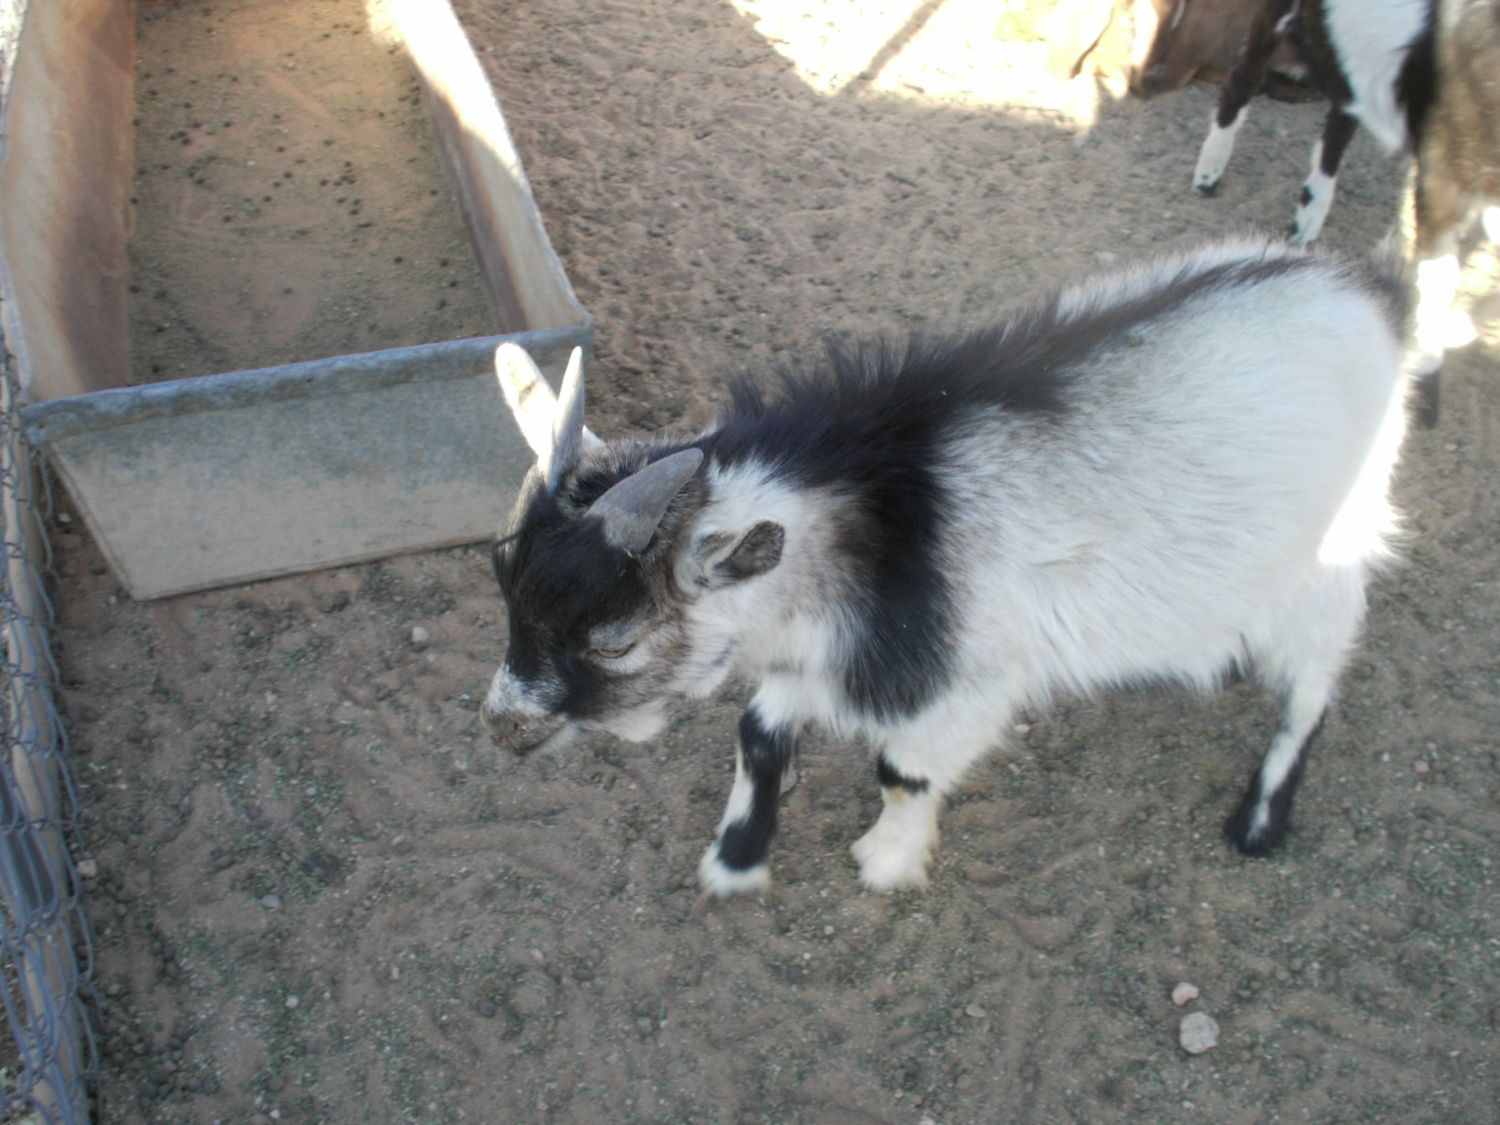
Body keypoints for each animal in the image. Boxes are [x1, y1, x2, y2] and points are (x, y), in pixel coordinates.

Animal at [480, 239, 1410, 897]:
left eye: (613, 639)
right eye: (505, 589)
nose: (501, 725)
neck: (876, 522)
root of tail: (1374, 299)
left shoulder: (968, 685)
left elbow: (902, 772)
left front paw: (887, 862)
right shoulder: (817, 653)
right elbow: (757, 732)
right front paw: (737, 857)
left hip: (1329, 561)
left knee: (1318, 678)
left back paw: (1261, 816)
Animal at [1190, 0, 1500, 424]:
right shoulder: (1442, 174)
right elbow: (1437, 281)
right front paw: (1426, 377)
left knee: (1342, 105)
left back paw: (1310, 212)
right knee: (1246, 74)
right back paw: (1209, 173)